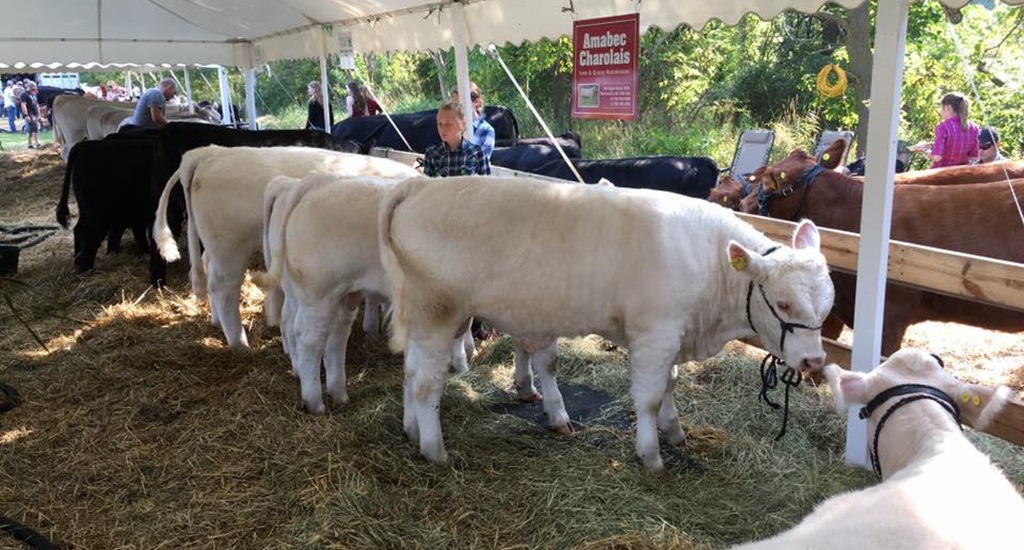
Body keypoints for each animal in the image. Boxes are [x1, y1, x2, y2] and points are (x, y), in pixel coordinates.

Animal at [153, 146, 419, 349]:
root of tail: (207, 153)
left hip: (214, 245)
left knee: (208, 272)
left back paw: (217, 322)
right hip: (229, 245)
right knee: (223, 288)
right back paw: (240, 343)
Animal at [258, 174, 474, 413]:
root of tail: (315, 181)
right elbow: (462, 330)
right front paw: (462, 361)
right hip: (313, 290)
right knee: (302, 332)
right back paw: (312, 395)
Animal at [379, 175, 834, 474]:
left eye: (827, 307)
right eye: (783, 302)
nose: (814, 361)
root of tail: (419, 186)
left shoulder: (672, 337)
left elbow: (670, 384)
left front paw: (674, 430)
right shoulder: (655, 334)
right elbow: (649, 396)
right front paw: (651, 455)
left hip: (422, 317)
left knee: (411, 371)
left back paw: (411, 430)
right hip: (438, 311)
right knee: (426, 382)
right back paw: (435, 449)